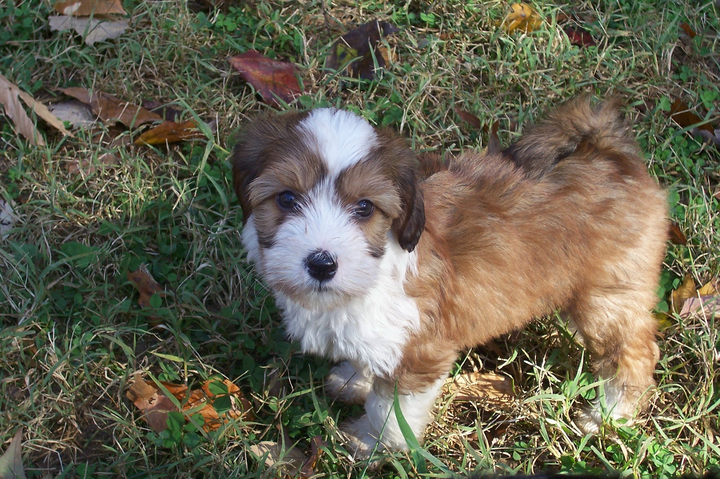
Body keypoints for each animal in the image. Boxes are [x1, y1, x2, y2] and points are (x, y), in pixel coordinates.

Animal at [232, 97, 668, 458]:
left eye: (364, 207)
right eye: (287, 198)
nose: (322, 264)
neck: (380, 265)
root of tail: (609, 155)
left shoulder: (421, 351)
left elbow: (390, 409)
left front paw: (373, 443)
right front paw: (354, 378)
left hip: (607, 296)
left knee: (633, 352)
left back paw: (608, 414)